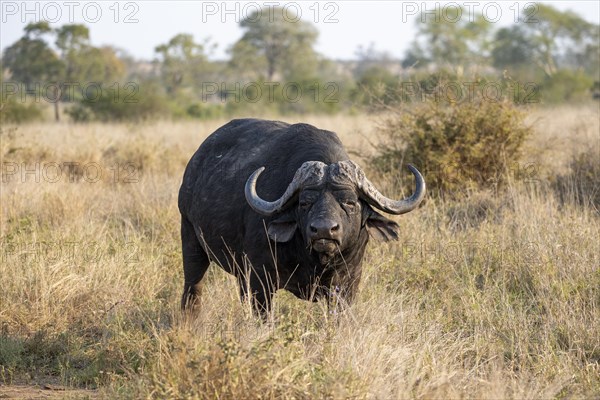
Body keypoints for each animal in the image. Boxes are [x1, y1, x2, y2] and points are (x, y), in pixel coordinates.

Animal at [178, 119, 426, 316]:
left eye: (349, 202)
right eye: (305, 202)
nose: (324, 230)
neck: (315, 260)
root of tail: (195, 164)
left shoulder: (347, 283)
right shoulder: (260, 280)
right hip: (190, 239)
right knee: (192, 289)